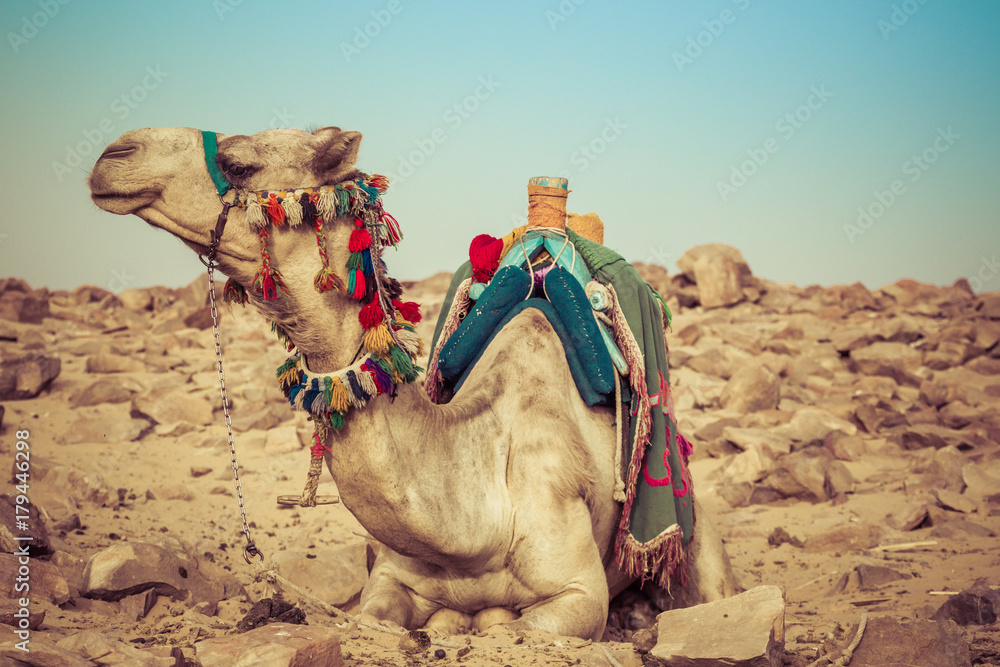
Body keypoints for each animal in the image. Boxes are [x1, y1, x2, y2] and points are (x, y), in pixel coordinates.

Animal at [88, 126, 738, 641]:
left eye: (241, 161)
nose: (114, 154)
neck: (474, 518)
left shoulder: (578, 594)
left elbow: (522, 623)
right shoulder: (388, 583)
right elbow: (380, 615)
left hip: (694, 535)